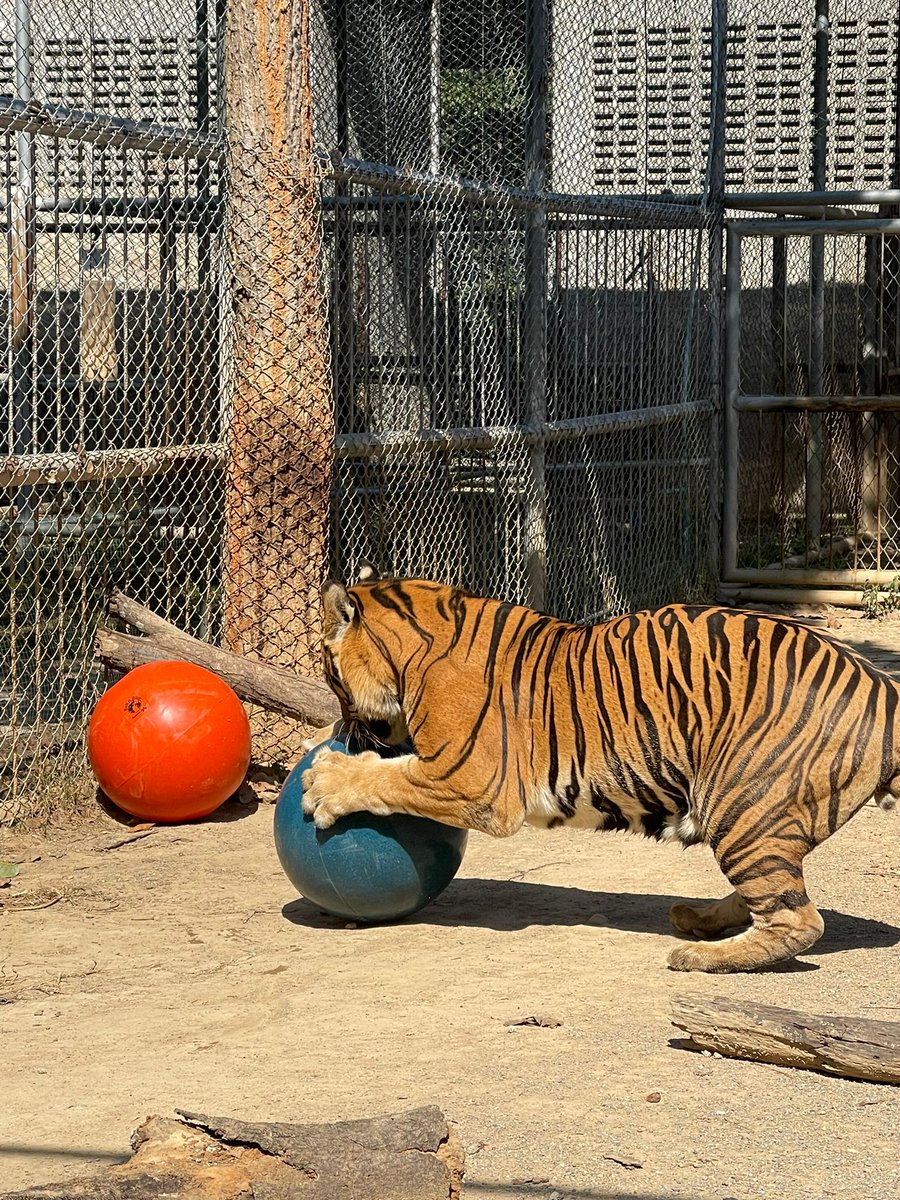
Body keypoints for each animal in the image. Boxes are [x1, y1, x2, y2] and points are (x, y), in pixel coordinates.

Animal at [301, 565, 900, 973]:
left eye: (328, 673)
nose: (342, 729)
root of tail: (881, 685)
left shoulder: (471, 779)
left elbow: (390, 777)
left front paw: (324, 778)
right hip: (761, 816)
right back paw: (699, 920)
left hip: (741, 800)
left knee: (799, 919)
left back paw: (697, 956)